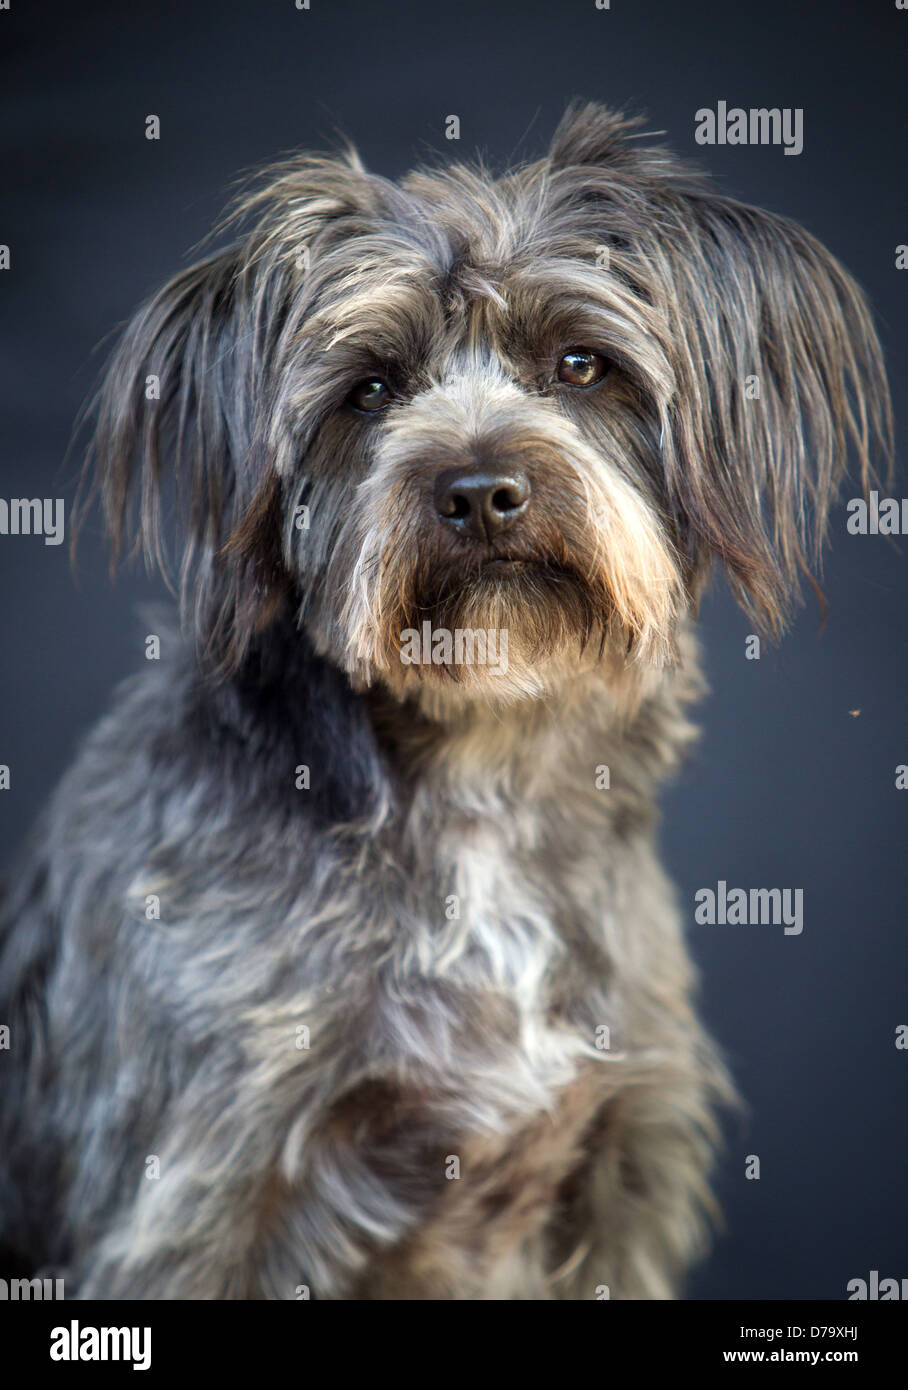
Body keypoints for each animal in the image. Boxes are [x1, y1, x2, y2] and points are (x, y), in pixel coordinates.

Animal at [0, 102, 889, 1295]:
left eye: (580, 363)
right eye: (369, 389)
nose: (478, 491)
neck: (484, 764)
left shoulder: (623, 1163)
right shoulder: (194, 1194)